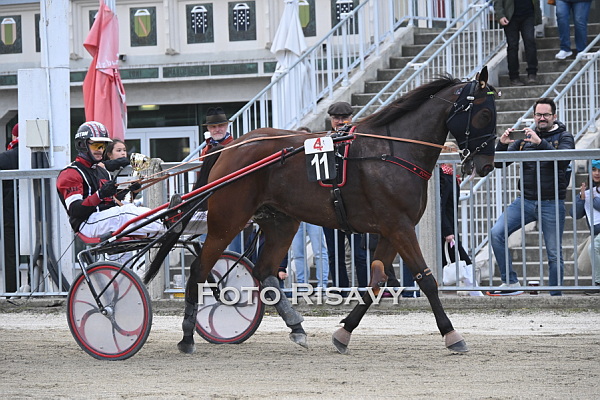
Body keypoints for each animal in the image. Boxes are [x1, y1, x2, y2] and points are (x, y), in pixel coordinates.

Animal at [150, 67, 497, 354]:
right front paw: (452, 335)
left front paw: (343, 333)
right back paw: (187, 336)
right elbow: (426, 280)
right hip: (227, 220)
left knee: (263, 271)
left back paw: (296, 326)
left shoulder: (390, 229)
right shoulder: (400, 227)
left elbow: (375, 281)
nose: (486, 165)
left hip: (281, 221)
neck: (392, 151)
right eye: (483, 113)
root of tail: (227, 147)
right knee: (199, 271)